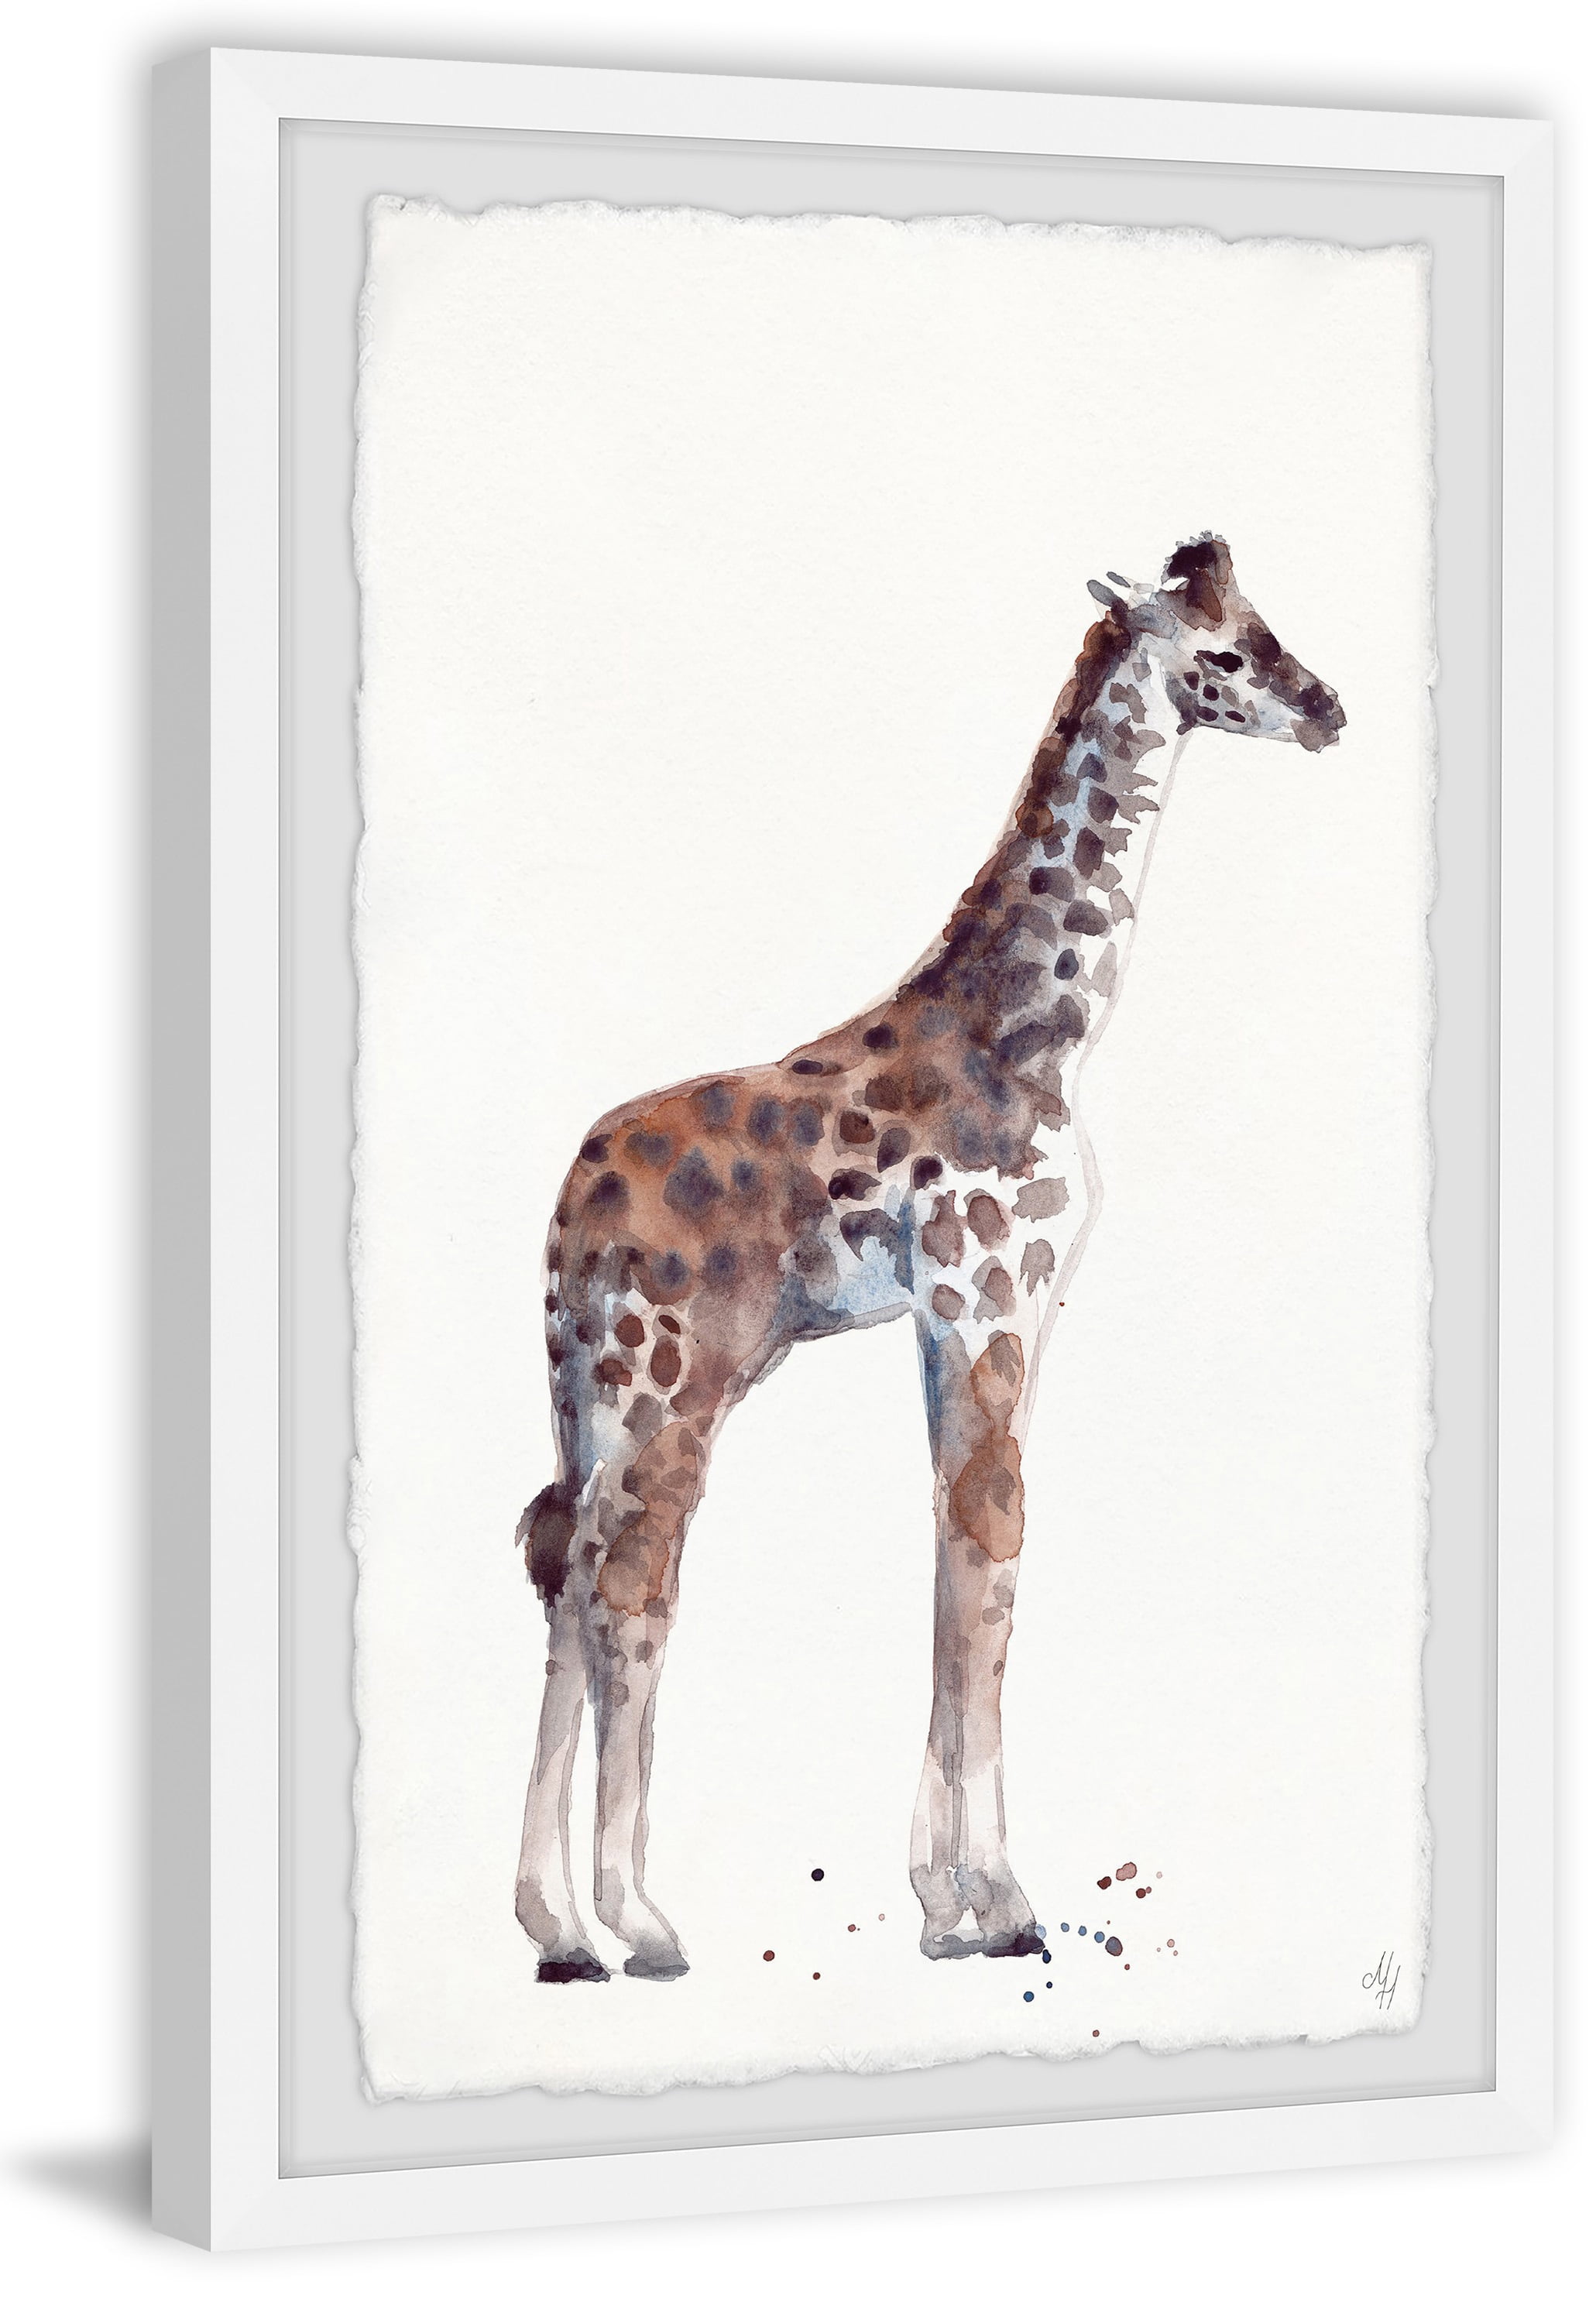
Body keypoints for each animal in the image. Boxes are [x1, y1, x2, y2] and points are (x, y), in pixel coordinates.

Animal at [514, 535, 1345, 1982]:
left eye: (1265, 622)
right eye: (1223, 654)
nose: (1329, 710)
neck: (1038, 1035)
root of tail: (570, 1205)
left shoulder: (974, 1320)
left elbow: (962, 1542)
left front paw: (942, 1903)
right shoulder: (987, 1298)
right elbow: (989, 1550)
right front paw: (1000, 1904)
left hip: (600, 1389)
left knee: (569, 1564)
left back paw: (560, 1928)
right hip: (676, 1381)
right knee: (631, 1586)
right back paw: (636, 1922)